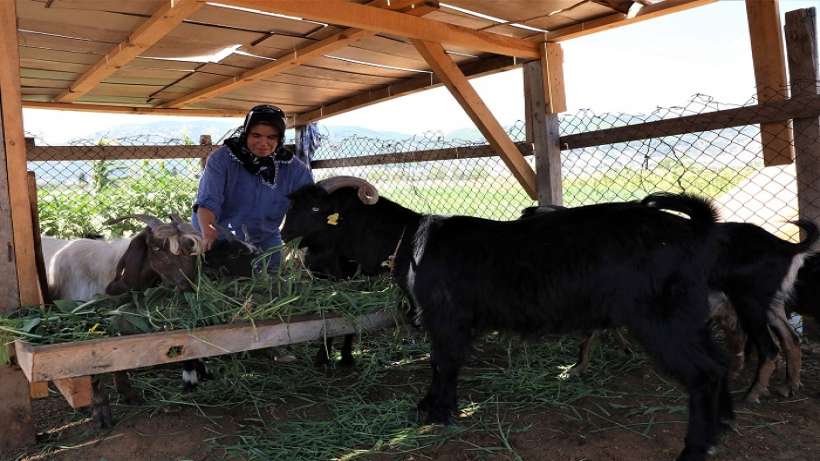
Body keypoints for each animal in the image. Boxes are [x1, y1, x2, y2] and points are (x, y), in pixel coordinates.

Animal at [286, 176, 732, 460]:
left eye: (316, 208)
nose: (284, 235)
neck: (409, 240)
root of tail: (694, 230)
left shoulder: (447, 319)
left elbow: (443, 364)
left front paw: (440, 413)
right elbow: (437, 365)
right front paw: (427, 406)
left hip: (663, 320)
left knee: (703, 373)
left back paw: (695, 448)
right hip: (690, 317)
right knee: (719, 363)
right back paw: (723, 424)